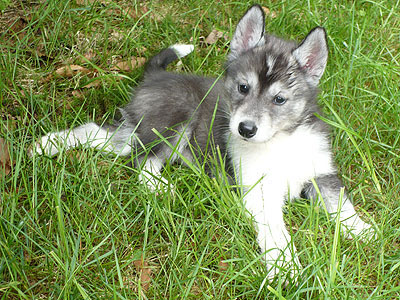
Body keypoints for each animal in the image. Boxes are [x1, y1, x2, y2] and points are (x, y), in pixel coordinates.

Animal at [32, 4, 374, 278]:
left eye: (279, 99)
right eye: (243, 87)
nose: (245, 129)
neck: (280, 140)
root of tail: (155, 77)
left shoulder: (321, 174)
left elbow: (342, 205)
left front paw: (364, 232)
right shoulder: (258, 192)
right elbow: (276, 230)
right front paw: (284, 265)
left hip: (140, 129)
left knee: (102, 135)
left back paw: (46, 144)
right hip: (177, 117)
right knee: (142, 161)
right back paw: (159, 187)